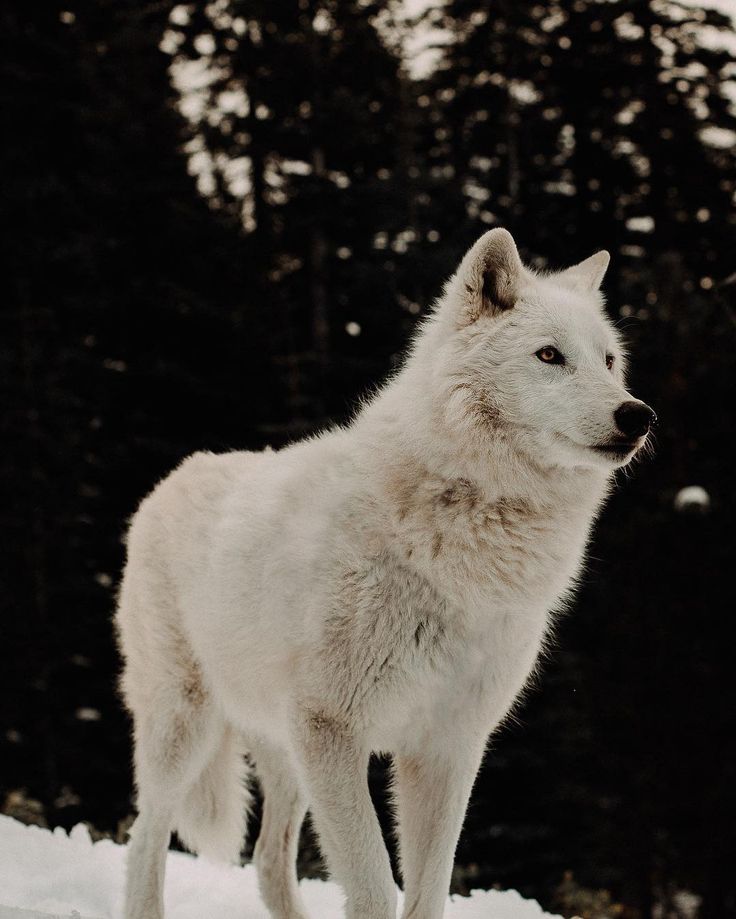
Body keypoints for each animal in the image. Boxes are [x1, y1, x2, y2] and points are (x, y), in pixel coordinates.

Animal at [115, 230, 656, 919]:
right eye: (549, 355)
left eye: (609, 361)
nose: (637, 415)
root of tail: (177, 476)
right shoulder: (334, 730)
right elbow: (373, 886)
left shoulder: (449, 745)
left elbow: (427, 891)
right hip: (186, 724)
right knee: (145, 837)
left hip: (284, 752)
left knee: (267, 859)